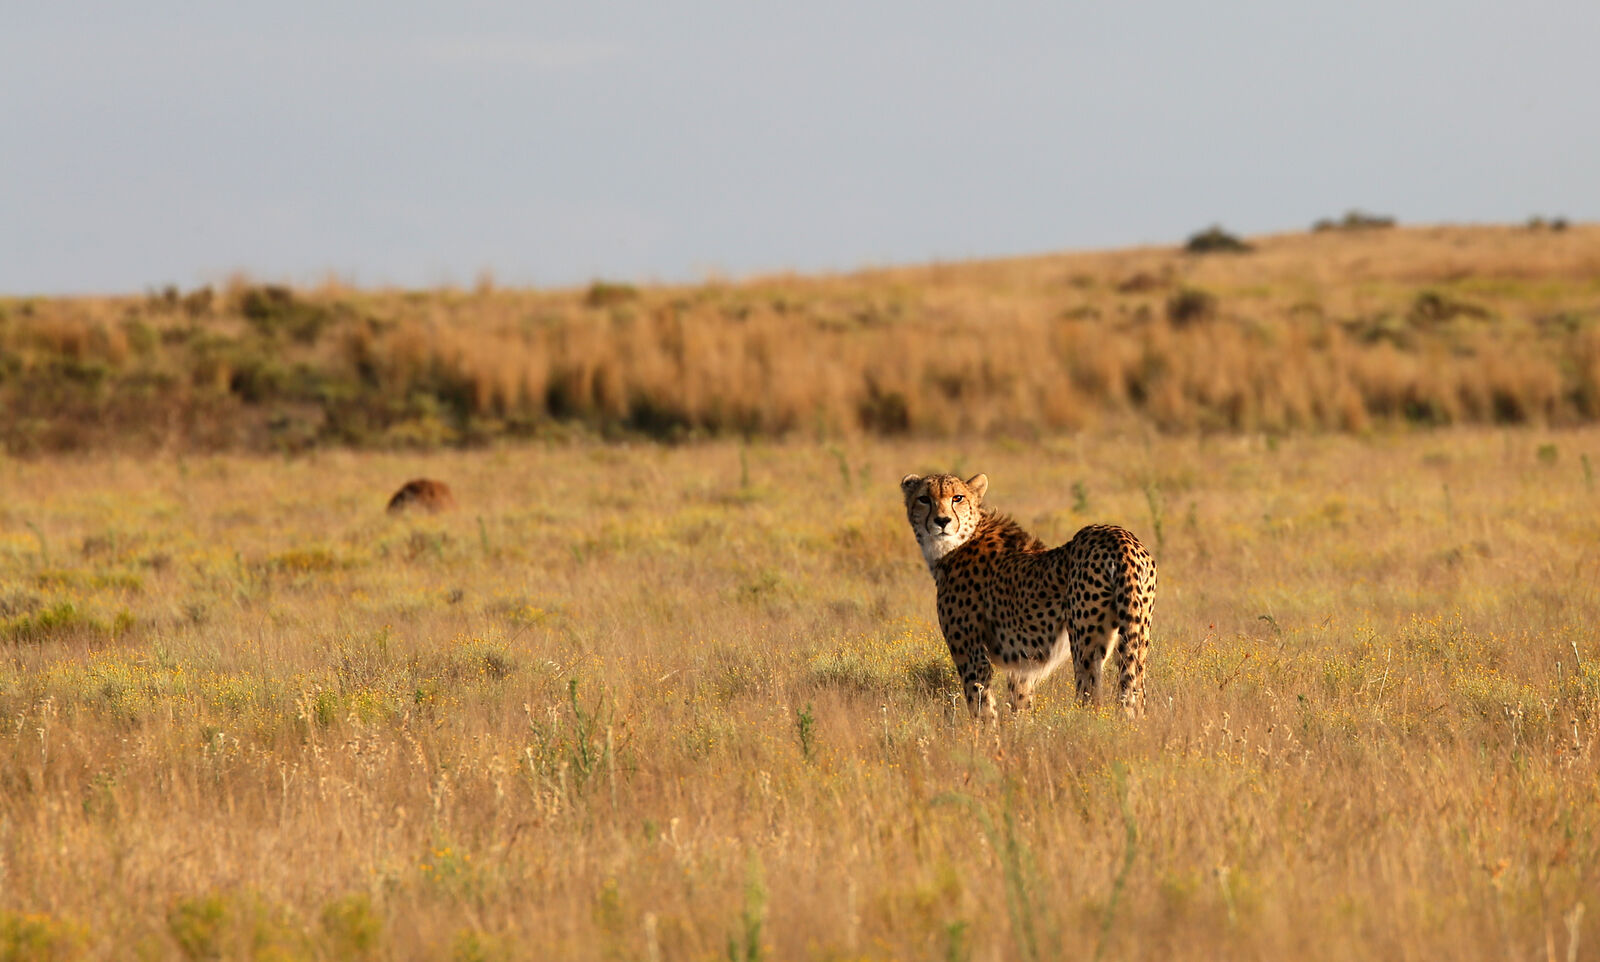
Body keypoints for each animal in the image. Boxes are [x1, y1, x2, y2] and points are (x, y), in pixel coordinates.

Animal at [896, 467, 1158, 717]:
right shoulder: (1023, 666)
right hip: (1138, 636)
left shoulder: (971, 655)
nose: (942, 521)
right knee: (1136, 693)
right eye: (924, 499)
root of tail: (1119, 536)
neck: (956, 543)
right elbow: (1019, 707)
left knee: (1092, 699)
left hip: (1086, 643)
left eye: (957, 498)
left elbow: (983, 711)